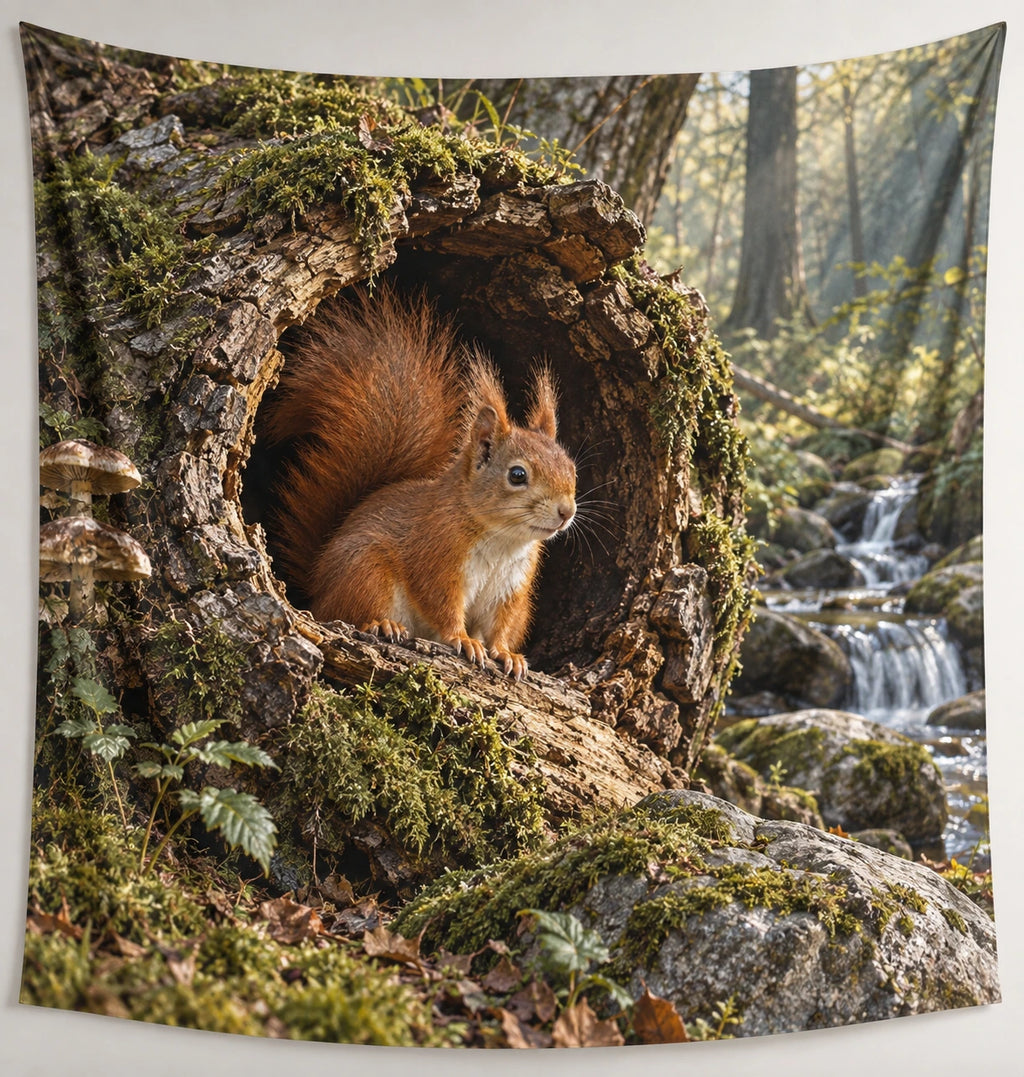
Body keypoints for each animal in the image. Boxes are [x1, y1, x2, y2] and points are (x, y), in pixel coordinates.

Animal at [264, 287, 577, 680]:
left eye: (572, 468)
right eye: (517, 475)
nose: (567, 511)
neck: (502, 539)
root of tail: (318, 589)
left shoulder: (512, 588)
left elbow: (501, 625)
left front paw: (507, 653)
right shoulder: (435, 555)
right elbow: (441, 604)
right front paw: (464, 640)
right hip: (365, 571)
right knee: (348, 611)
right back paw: (382, 624)